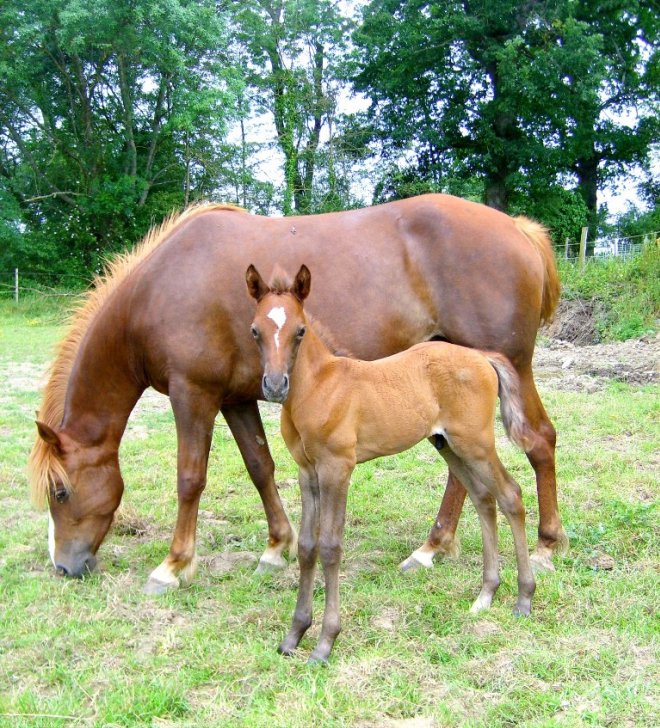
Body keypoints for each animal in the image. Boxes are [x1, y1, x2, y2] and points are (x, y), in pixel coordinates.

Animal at [248, 264, 536, 664]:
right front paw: (294, 635)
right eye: (255, 330)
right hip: (448, 444)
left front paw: (325, 642)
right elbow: (307, 547)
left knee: (510, 495)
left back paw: (523, 598)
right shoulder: (308, 472)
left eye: (300, 331)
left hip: (475, 443)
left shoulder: (338, 468)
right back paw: (486, 594)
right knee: (484, 499)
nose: (275, 386)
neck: (320, 387)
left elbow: (330, 547)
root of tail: (482, 357)